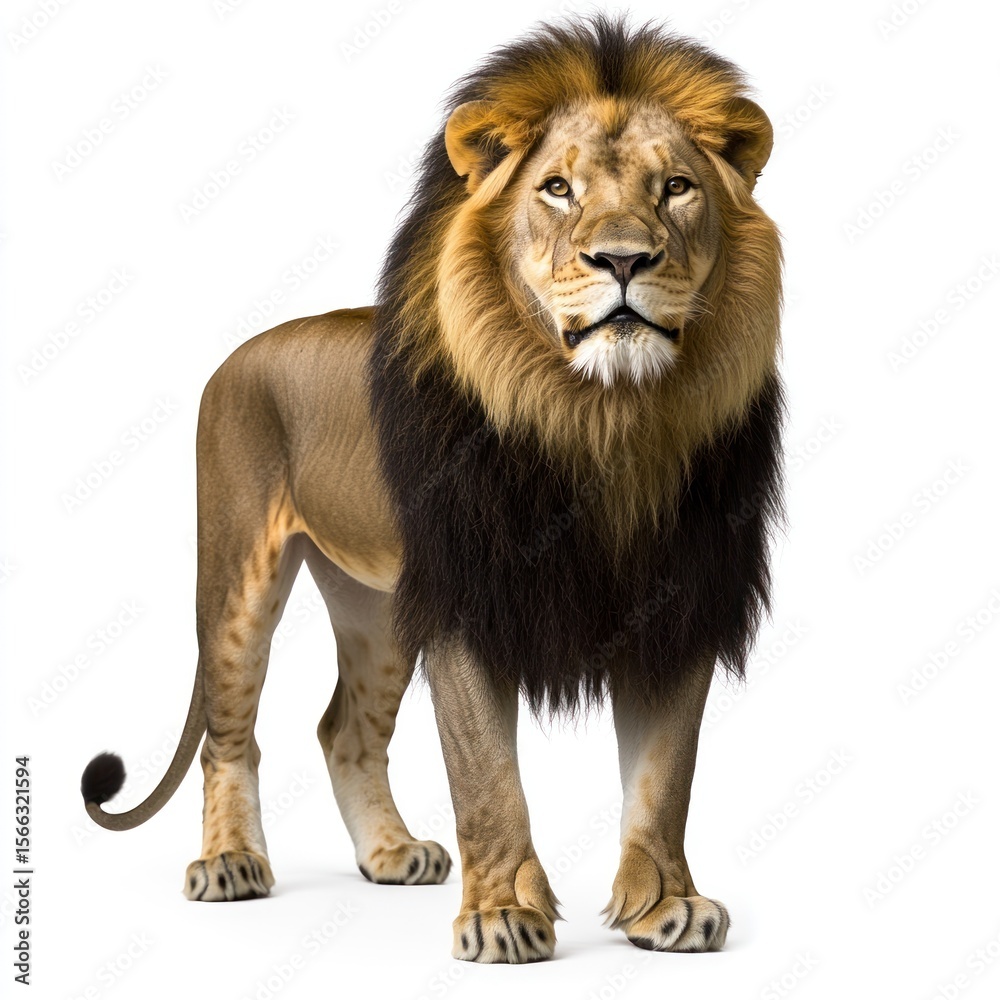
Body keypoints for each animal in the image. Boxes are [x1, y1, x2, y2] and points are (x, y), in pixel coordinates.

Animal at [80, 16, 783, 963]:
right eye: (557, 189)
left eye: (676, 188)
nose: (624, 259)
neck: (602, 419)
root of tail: (243, 350)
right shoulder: (465, 600)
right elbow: (487, 777)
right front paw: (503, 916)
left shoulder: (679, 600)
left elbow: (663, 776)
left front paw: (666, 906)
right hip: (237, 573)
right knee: (230, 734)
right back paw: (229, 865)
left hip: (375, 607)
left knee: (344, 729)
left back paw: (390, 854)